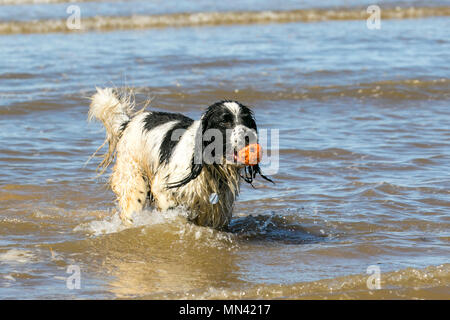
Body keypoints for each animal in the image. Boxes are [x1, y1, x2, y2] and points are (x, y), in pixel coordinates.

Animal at [88, 87, 270, 228]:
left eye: (247, 121)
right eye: (225, 122)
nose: (249, 136)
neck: (208, 165)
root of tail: (129, 122)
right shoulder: (164, 189)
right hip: (134, 182)